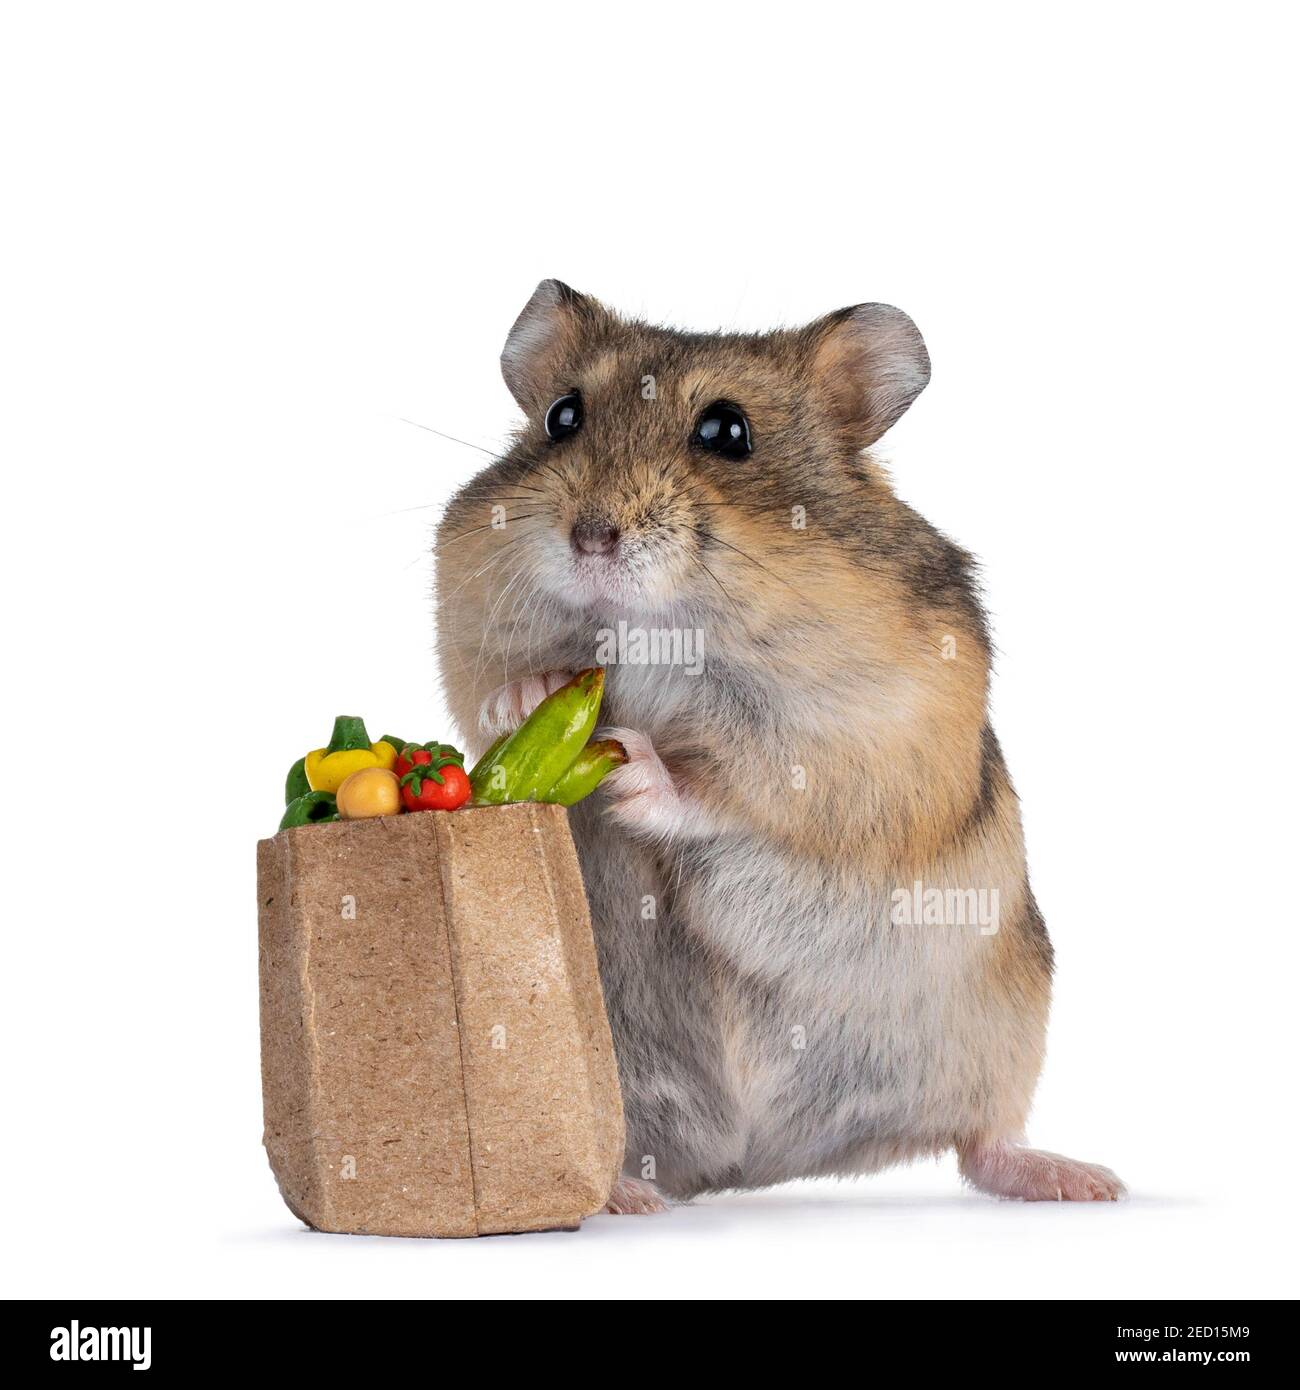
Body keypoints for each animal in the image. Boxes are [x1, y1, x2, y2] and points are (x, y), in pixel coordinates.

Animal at [434, 279, 1123, 1211]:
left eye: (727, 433)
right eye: (562, 417)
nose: (590, 537)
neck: (658, 632)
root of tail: (746, 1163)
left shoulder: (865, 736)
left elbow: (736, 781)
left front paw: (631, 767)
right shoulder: (466, 627)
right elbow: (492, 688)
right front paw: (533, 698)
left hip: (1004, 1029)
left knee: (985, 1137)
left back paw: (1088, 1182)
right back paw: (624, 1194)